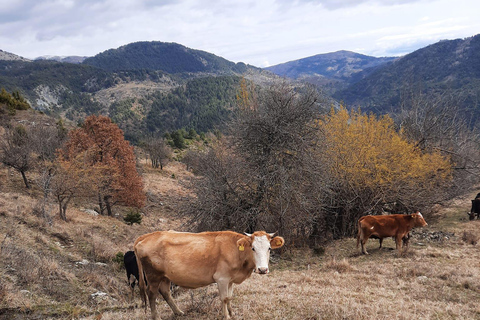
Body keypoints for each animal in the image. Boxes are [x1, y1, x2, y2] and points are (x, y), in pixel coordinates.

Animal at [134, 230, 284, 320]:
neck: (236, 251)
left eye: (269, 248)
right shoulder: (222, 278)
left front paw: (232, 313)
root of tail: (146, 236)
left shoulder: (230, 279)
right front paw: (226, 316)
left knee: (165, 292)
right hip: (153, 275)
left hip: (165, 276)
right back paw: (156, 317)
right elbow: (224, 298)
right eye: (253, 248)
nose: (263, 269)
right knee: (151, 293)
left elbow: (230, 297)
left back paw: (179, 312)